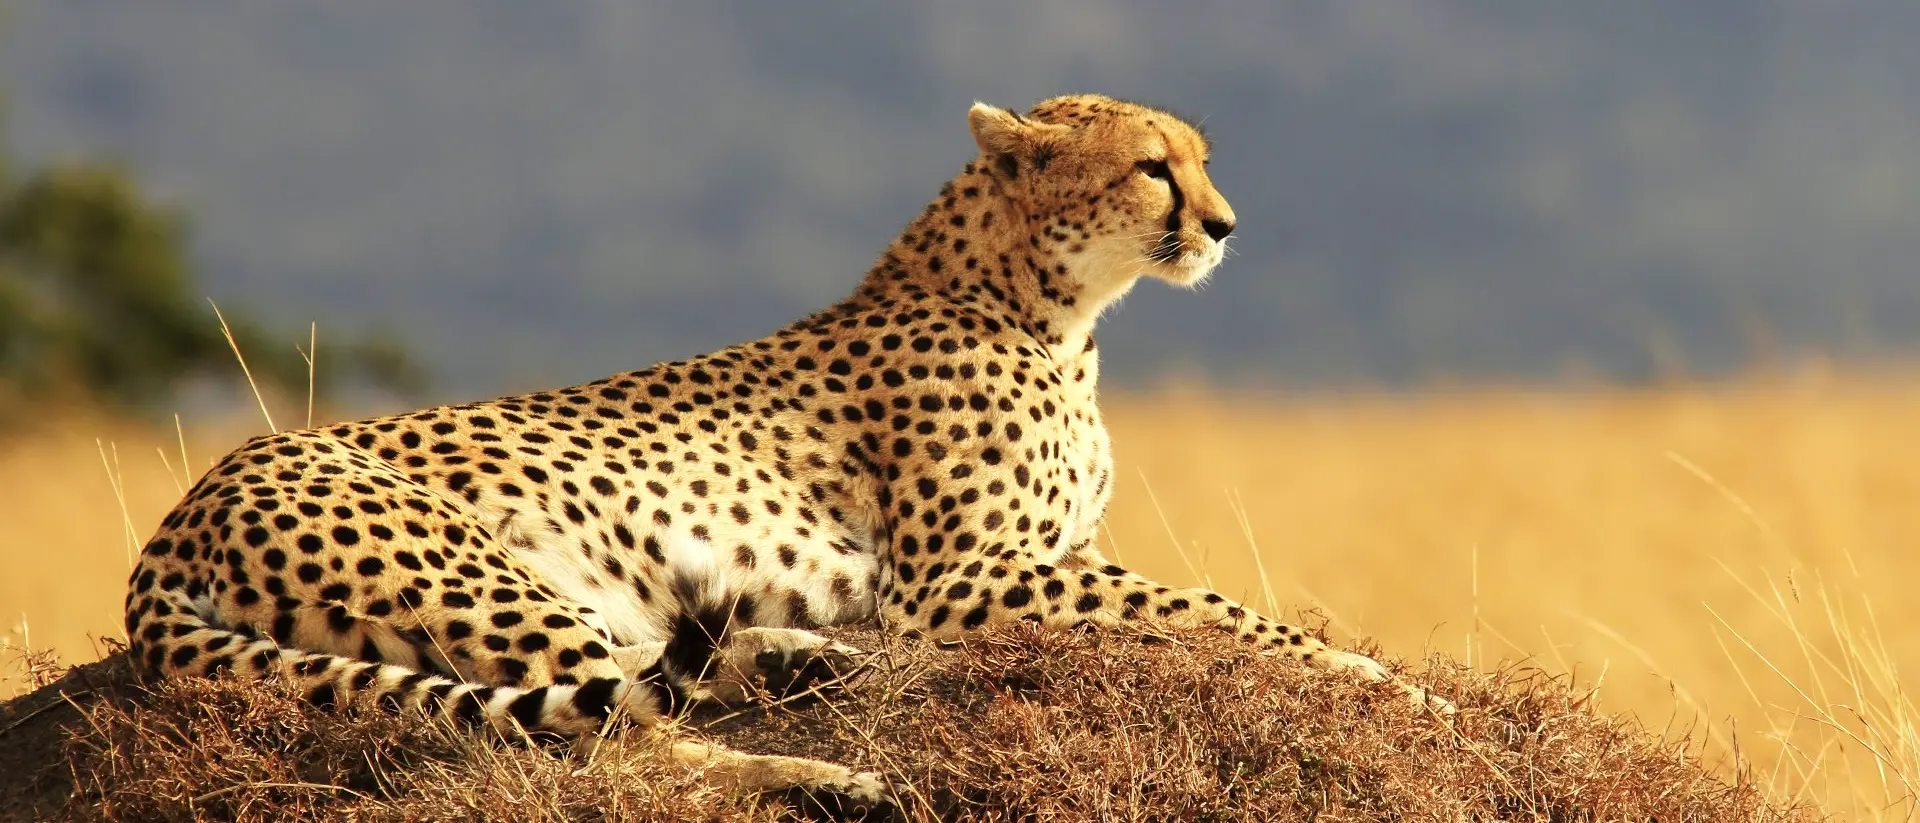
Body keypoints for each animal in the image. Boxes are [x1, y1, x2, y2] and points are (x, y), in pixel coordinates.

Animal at [122, 94, 1448, 816]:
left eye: (1203, 160)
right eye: (1152, 167)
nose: (1224, 225)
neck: (1049, 306)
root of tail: (183, 508)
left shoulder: (1028, 563)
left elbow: (1202, 605)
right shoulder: (959, 583)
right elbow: (1213, 608)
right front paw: (1393, 684)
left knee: (648, 675)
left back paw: (806, 665)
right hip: (479, 576)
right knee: (612, 743)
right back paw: (826, 774)